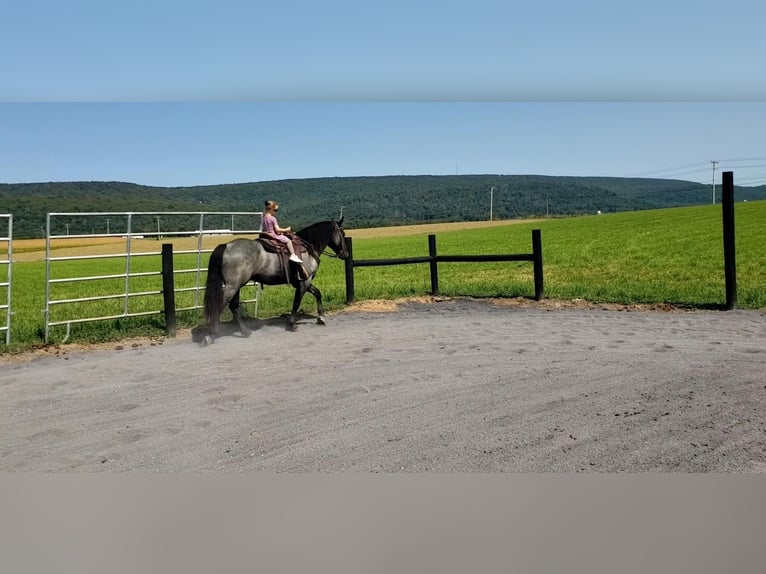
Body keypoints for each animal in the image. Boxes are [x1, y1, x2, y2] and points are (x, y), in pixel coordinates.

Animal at [201, 217, 352, 346]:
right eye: (342, 233)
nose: (346, 254)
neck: (308, 249)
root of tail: (225, 246)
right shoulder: (304, 282)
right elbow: (297, 302)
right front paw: (292, 323)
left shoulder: (304, 282)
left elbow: (318, 293)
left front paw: (321, 317)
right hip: (232, 286)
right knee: (220, 305)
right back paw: (211, 335)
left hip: (236, 286)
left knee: (234, 306)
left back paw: (245, 331)